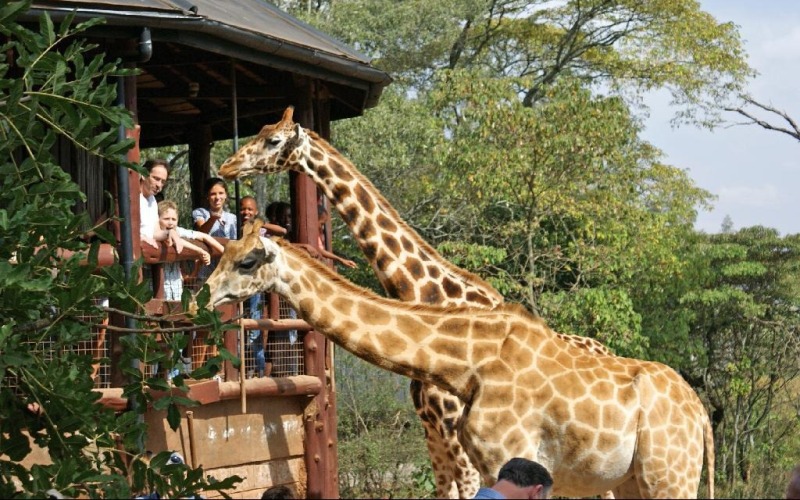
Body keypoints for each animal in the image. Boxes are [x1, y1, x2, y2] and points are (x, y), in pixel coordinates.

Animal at [201, 222, 715, 499]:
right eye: (222, 254)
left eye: (247, 261)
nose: (204, 295)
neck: (468, 361)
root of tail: (702, 416)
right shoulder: (487, 464)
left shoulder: (513, 457)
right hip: (633, 478)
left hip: (669, 474)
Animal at [218, 106, 614, 498]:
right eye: (258, 130)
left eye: (273, 140)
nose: (227, 166)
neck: (426, 294)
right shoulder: (431, 429)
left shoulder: (457, 433)